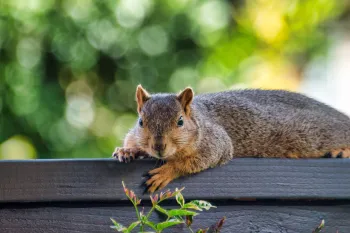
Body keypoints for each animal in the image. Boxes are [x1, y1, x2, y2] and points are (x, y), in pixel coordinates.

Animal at [112, 85, 350, 193]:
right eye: (141, 122)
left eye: (180, 122)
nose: (159, 146)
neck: (197, 117)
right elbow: (132, 142)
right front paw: (127, 151)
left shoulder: (216, 141)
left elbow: (198, 159)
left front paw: (166, 171)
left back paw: (342, 151)